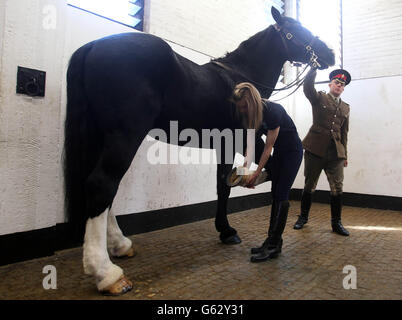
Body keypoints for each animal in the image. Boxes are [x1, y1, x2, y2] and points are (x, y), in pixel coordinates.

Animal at [64, 6, 332, 296]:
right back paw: (106, 273)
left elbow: (227, 181)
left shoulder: (227, 143)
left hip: (100, 137)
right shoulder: (240, 138)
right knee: (102, 184)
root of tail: (93, 46)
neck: (240, 78)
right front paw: (228, 229)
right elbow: (243, 177)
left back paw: (120, 245)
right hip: (124, 136)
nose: (329, 53)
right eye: (297, 28)